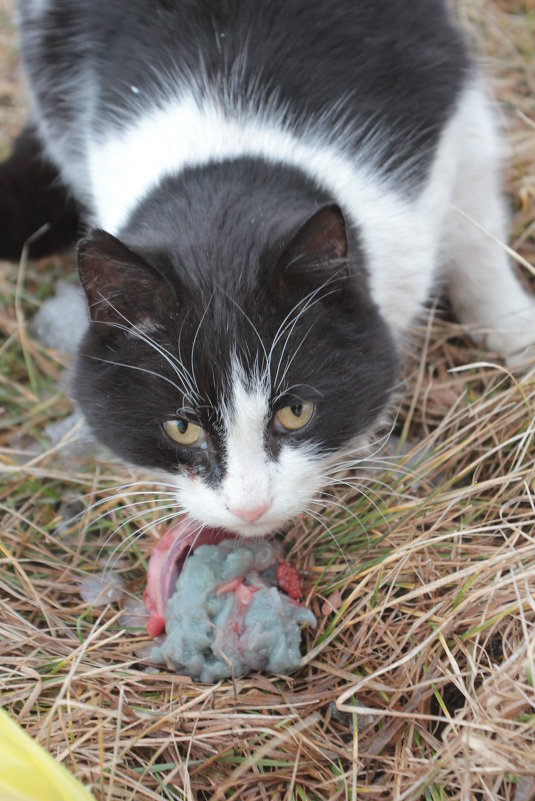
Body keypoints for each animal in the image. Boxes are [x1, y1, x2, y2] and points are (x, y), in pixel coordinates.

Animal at [4, 1, 535, 536]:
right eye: (182, 427)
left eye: (296, 411)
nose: (250, 508)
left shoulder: (445, 99)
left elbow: (476, 215)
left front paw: (513, 327)